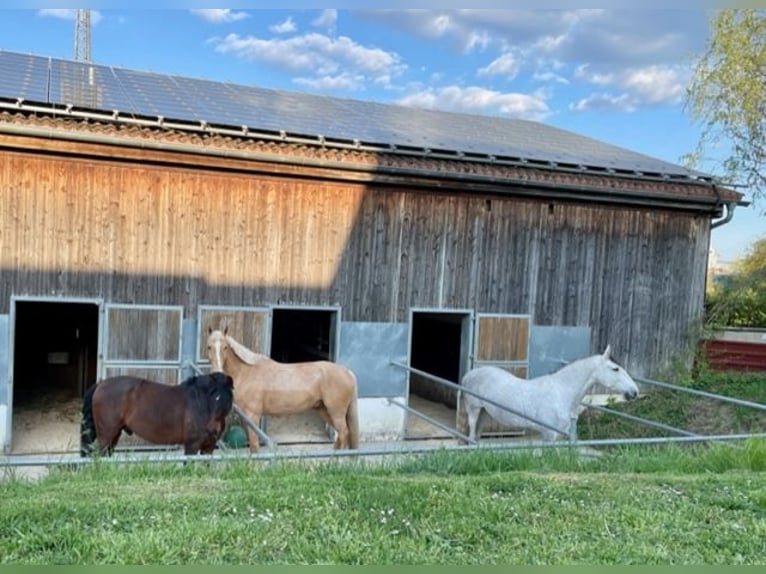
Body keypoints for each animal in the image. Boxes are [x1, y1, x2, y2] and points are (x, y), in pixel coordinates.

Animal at [80, 374, 234, 460]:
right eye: (213, 395)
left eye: (227, 398)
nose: (212, 429)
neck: (199, 402)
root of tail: (101, 384)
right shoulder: (192, 444)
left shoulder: (209, 446)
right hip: (106, 434)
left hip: (115, 434)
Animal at [204, 330, 360, 452]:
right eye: (209, 346)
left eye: (225, 347)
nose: (217, 372)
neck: (247, 371)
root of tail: (347, 372)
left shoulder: (253, 416)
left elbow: (254, 445)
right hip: (323, 410)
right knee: (342, 434)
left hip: (336, 412)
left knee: (344, 432)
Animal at [464, 346, 640, 446]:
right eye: (615, 369)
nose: (634, 392)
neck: (561, 392)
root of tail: (470, 374)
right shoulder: (548, 434)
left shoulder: (561, 435)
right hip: (473, 409)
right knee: (471, 431)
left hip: (485, 412)